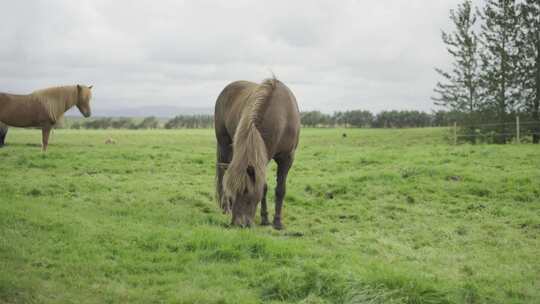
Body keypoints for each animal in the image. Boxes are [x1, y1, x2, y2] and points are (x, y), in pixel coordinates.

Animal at [214, 77, 300, 229]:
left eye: (246, 191)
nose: (238, 224)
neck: (282, 117)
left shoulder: (287, 158)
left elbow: (280, 189)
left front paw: (277, 222)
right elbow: (264, 188)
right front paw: (265, 219)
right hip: (224, 143)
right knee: (222, 173)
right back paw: (225, 207)